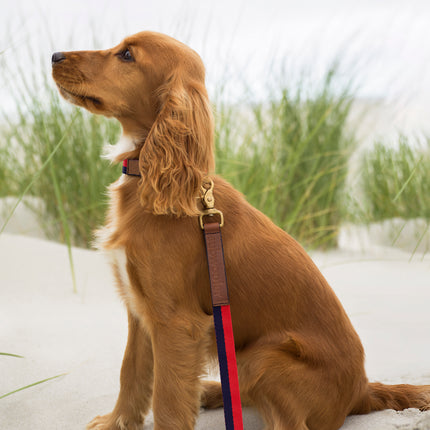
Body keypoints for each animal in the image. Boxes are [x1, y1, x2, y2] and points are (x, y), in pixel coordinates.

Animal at [51, 31, 430, 430]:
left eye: (126, 55)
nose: (55, 56)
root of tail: (361, 391)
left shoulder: (175, 321)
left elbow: (167, 399)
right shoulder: (140, 309)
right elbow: (132, 373)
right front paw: (116, 422)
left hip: (262, 357)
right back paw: (210, 391)